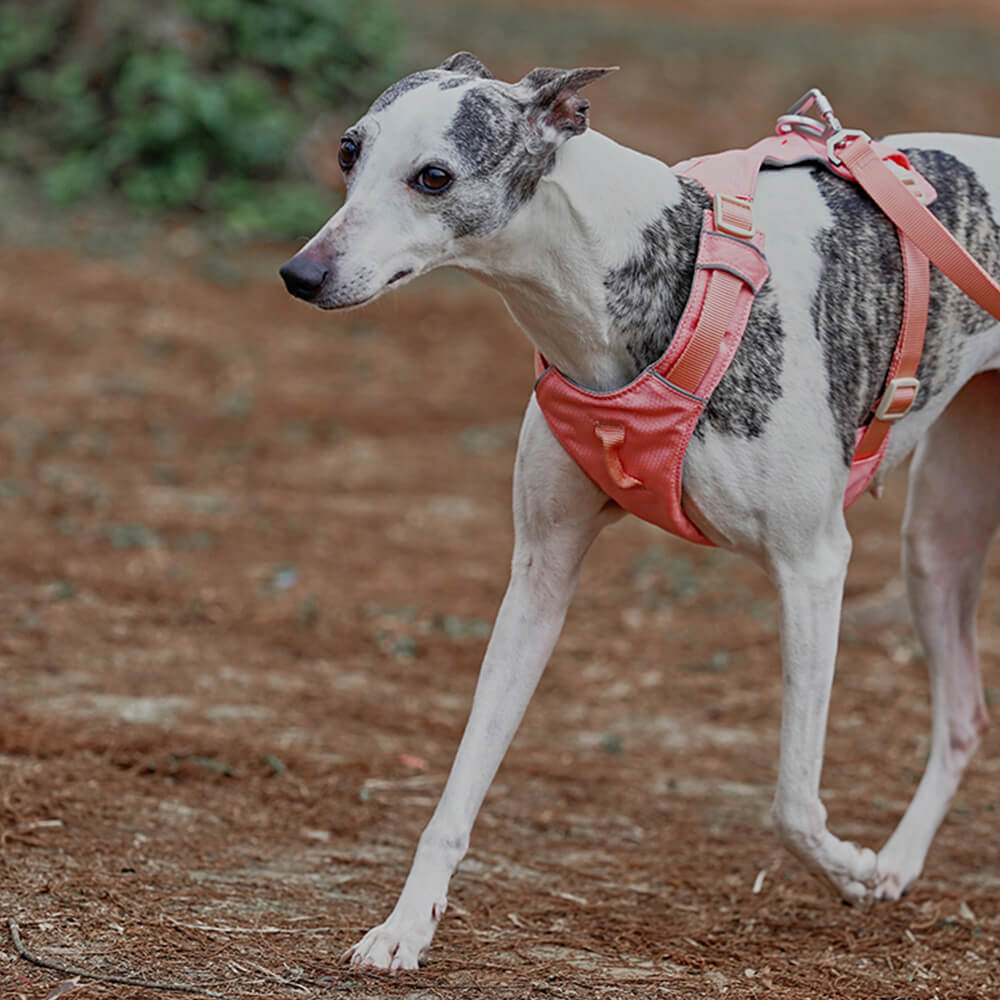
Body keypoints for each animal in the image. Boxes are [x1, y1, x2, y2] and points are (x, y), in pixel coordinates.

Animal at [278, 52, 1000, 968]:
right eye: (348, 151)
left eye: (433, 177)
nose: (301, 275)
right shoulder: (540, 573)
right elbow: (458, 787)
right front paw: (405, 927)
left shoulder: (812, 567)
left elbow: (793, 801)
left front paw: (849, 866)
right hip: (937, 545)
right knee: (965, 715)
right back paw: (901, 864)